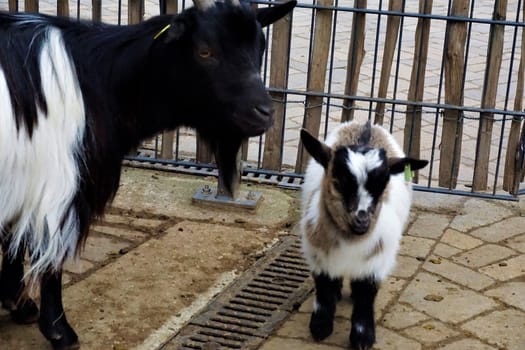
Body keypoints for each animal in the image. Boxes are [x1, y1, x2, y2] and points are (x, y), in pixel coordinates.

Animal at [298, 121, 426, 348]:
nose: (362, 221)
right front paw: (320, 328)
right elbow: (324, 289)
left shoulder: (376, 261)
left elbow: (366, 295)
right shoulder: (318, 254)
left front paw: (362, 338)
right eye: (337, 182)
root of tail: (366, 125)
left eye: (383, 186)